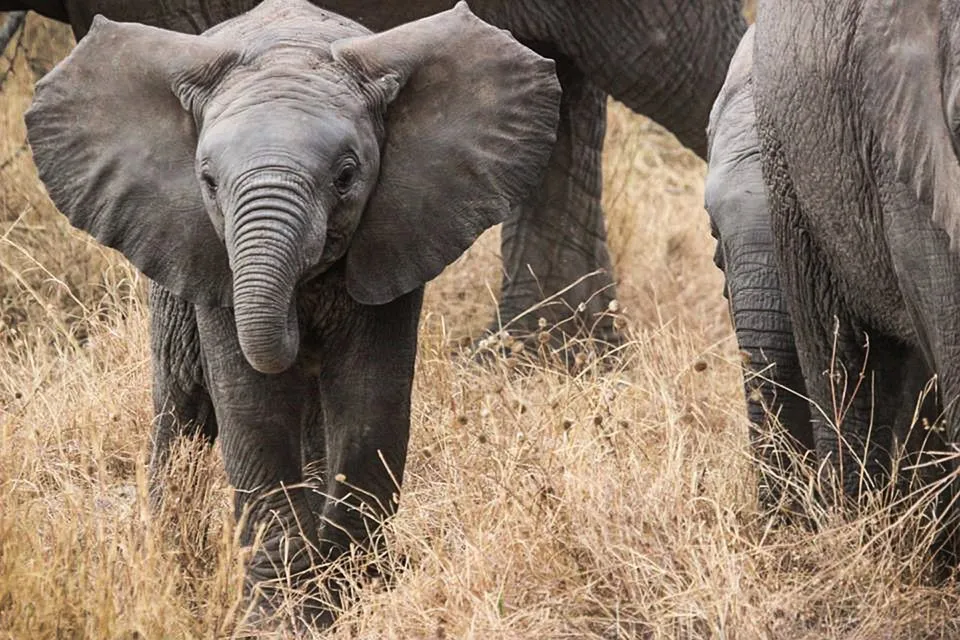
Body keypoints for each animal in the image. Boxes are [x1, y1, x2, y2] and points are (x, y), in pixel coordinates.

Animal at [24, 0, 564, 624]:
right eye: (208, 182)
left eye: (347, 176)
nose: (296, 320)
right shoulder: (209, 258)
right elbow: (253, 408)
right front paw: (281, 616)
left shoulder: (400, 234)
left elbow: (370, 401)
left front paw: (351, 594)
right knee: (181, 406)